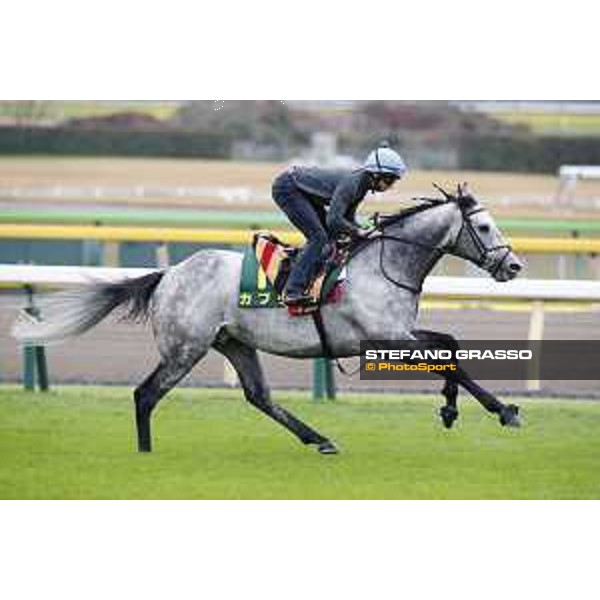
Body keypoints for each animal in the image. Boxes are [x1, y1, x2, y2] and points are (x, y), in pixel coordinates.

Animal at [11, 184, 524, 454]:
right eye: (483, 227)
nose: (514, 266)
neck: (385, 263)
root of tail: (170, 273)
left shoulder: (396, 332)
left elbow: (450, 344)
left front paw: (451, 409)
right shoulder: (385, 336)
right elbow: (448, 360)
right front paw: (503, 410)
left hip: (235, 343)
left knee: (258, 396)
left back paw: (319, 439)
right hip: (185, 349)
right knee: (145, 394)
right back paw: (145, 454)